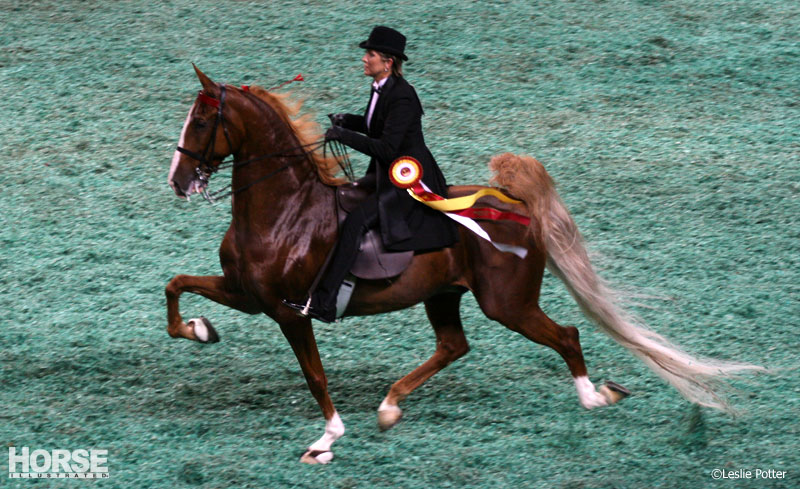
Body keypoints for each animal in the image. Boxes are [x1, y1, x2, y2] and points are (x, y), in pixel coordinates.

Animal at [164, 66, 764, 464]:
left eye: (202, 121)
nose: (177, 180)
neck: (283, 210)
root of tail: (515, 204)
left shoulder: (292, 312)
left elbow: (314, 376)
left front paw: (326, 439)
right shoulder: (246, 293)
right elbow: (176, 286)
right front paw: (200, 329)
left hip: (506, 303)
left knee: (564, 335)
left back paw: (594, 396)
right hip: (444, 294)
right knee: (455, 345)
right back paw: (390, 406)